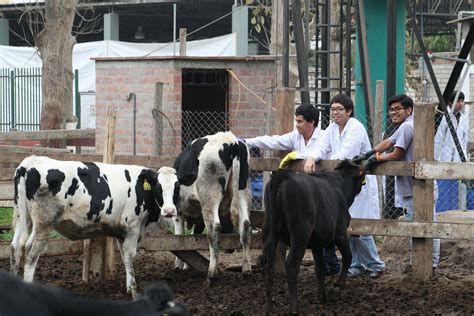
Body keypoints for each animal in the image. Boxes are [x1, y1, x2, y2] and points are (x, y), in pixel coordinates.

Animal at [9, 157, 180, 298]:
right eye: (159, 188)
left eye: (177, 188)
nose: (169, 211)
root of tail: (29, 163)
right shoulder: (132, 227)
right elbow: (130, 256)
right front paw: (134, 291)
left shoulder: (121, 232)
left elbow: (124, 257)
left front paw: (128, 287)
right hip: (43, 223)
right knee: (31, 251)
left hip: (23, 217)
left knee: (15, 247)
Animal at [170, 131, 252, 282]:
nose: (230, 249)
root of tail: (231, 141)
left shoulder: (178, 212)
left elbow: (180, 236)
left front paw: (179, 265)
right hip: (242, 192)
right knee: (245, 224)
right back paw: (246, 268)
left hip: (209, 198)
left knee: (215, 228)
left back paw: (212, 272)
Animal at [262, 160, 364, 314]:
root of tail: (285, 175)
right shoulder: (340, 233)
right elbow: (347, 257)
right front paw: (336, 287)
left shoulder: (317, 243)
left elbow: (320, 268)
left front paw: (322, 296)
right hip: (300, 234)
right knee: (291, 265)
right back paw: (294, 308)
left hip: (270, 230)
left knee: (269, 265)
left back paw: (269, 308)